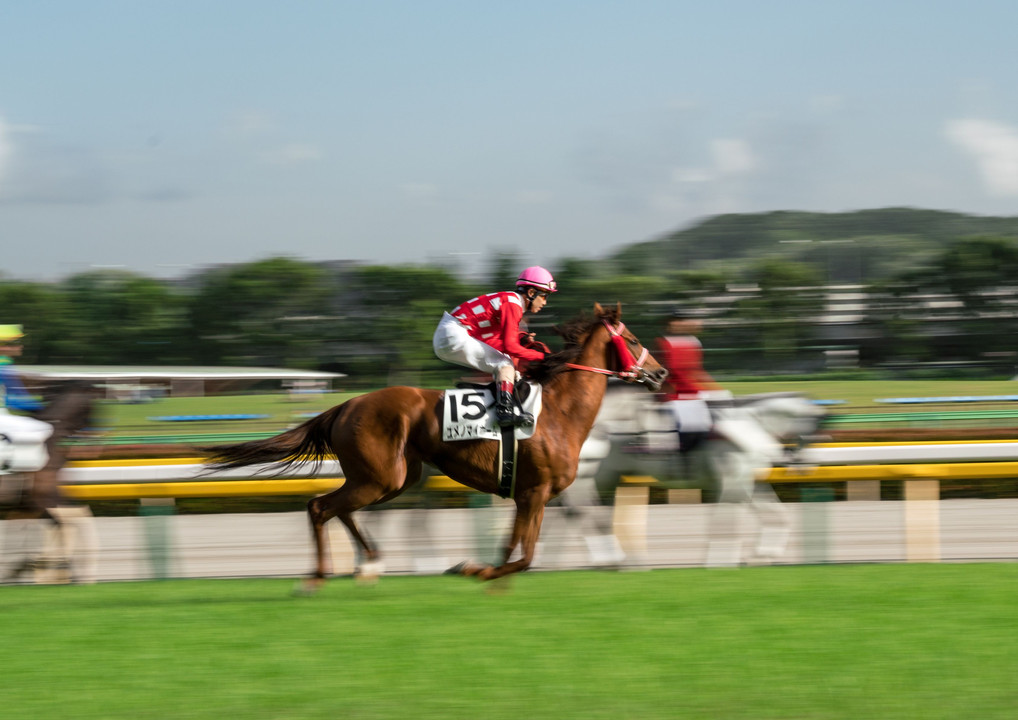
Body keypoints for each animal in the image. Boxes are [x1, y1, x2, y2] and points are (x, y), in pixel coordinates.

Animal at [205, 303, 667, 590]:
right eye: (632, 338)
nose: (660, 373)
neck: (558, 411)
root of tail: (346, 405)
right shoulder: (534, 492)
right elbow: (522, 556)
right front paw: (474, 569)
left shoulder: (532, 495)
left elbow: (514, 550)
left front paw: (476, 567)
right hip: (381, 476)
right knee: (321, 507)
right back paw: (319, 576)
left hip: (395, 478)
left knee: (343, 509)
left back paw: (370, 563)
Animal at [566, 382, 826, 570]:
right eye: (816, 429)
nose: (804, 465)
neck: (750, 423)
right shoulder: (734, 483)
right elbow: (723, 520)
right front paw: (719, 559)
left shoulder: (749, 484)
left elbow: (777, 516)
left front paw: (763, 555)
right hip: (596, 479)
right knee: (584, 510)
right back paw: (608, 558)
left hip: (606, 482)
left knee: (589, 513)